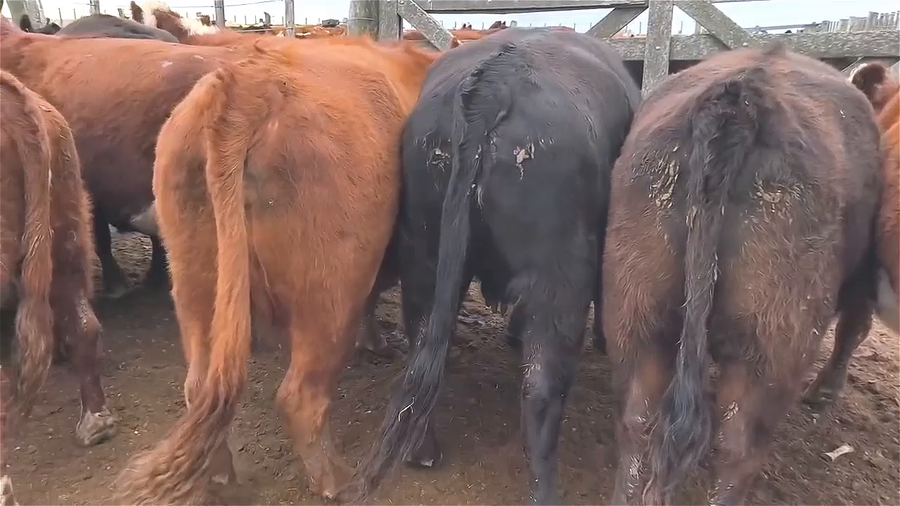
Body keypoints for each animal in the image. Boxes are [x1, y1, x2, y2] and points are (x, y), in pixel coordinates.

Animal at [114, 36, 439, 504]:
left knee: (200, 388)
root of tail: (247, 86)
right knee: (300, 398)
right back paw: (337, 481)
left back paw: (218, 474)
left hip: (194, 281)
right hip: (330, 294)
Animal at [343, 27, 640, 505]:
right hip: (559, 275)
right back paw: (543, 491)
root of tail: (497, 80)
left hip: (424, 253)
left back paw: (422, 449)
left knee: (422, 340)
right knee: (541, 389)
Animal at [601, 44, 882, 506]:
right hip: (771, 343)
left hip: (636, 314)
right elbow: (853, 328)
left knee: (636, 425)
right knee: (737, 451)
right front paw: (824, 393)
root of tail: (743, 97)